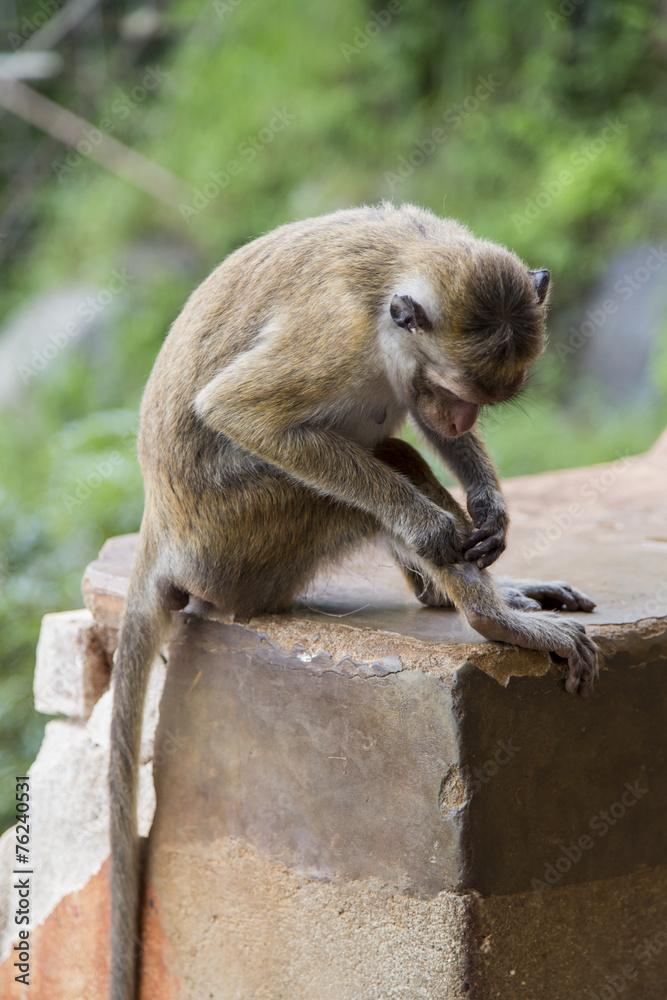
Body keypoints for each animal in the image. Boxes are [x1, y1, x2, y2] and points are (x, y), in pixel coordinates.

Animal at [109, 202, 598, 1000]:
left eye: (477, 399)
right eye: (452, 389)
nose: (463, 421)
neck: (400, 270)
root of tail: (165, 533)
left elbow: (421, 441)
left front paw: (488, 508)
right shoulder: (334, 338)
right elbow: (239, 412)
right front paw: (439, 533)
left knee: (391, 448)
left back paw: (468, 594)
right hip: (241, 538)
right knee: (375, 460)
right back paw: (486, 613)